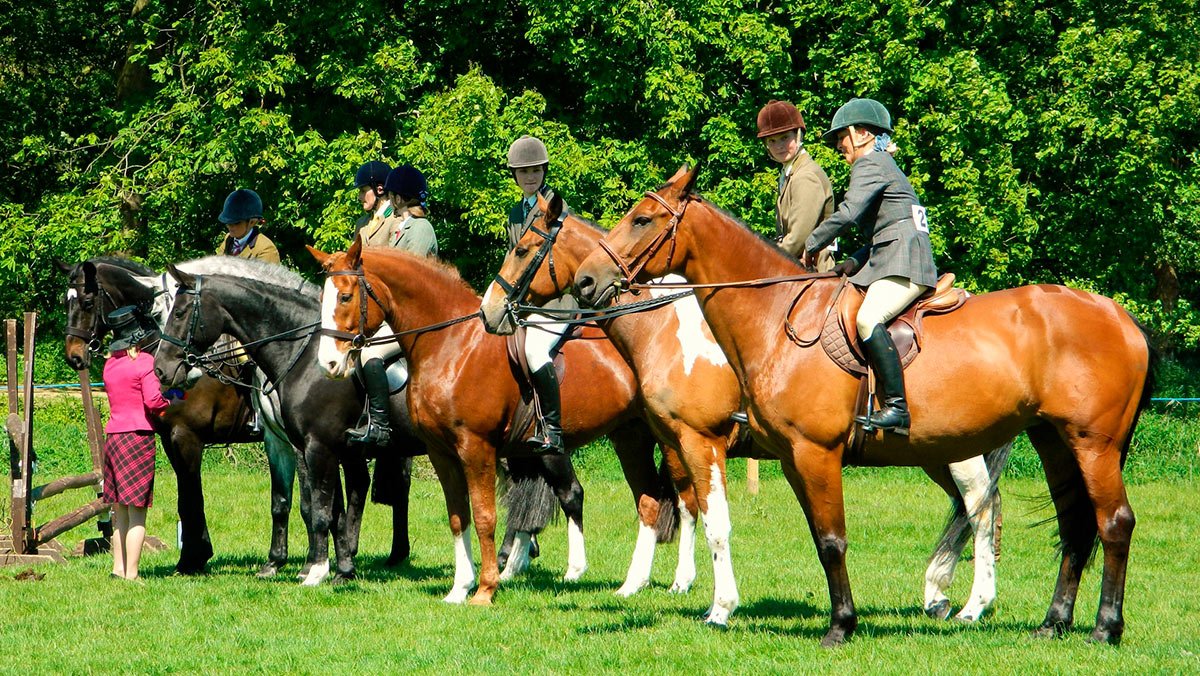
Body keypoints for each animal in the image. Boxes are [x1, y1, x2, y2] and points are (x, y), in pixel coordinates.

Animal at [149, 256, 424, 583]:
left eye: (178, 313)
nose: (161, 370)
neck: (302, 354)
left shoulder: (315, 447)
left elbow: (316, 509)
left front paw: (315, 570)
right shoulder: (293, 444)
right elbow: (311, 507)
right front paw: (336, 568)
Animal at [309, 240, 681, 605]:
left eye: (345, 296)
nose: (329, 363)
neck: (453, 343)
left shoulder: (477, 449)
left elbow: (485, 516)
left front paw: (486, 588)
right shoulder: (441, 453)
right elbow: (458, 516)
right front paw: (460, 588)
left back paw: (679, 582)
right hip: (629, 436)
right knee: (649, 501)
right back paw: (633, 584)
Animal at [477, 193, 1012, 629]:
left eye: (523, 249)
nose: (490, 309)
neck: (666, 328)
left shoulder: (699, 439)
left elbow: (705, 515)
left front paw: (712, 600)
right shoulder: (675, 440)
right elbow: (685, 505)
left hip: (955, 449)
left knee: (980, 506)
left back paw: (974, 603)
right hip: (931, 452)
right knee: (970, 509)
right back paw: (940, 593)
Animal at [576, 166, 1156, 648]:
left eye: (642, 219)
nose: (585, 281)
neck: (774, 316)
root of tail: (1119, 317)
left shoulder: (800, 452)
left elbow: (828, 540)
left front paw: (835, 626)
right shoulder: (790, 459)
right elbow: (817, 538)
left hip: (1091, 445)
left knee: (1109, 523)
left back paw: (1102, 627)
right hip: (1052, 441)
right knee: (1073, 524)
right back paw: (1052, 623)